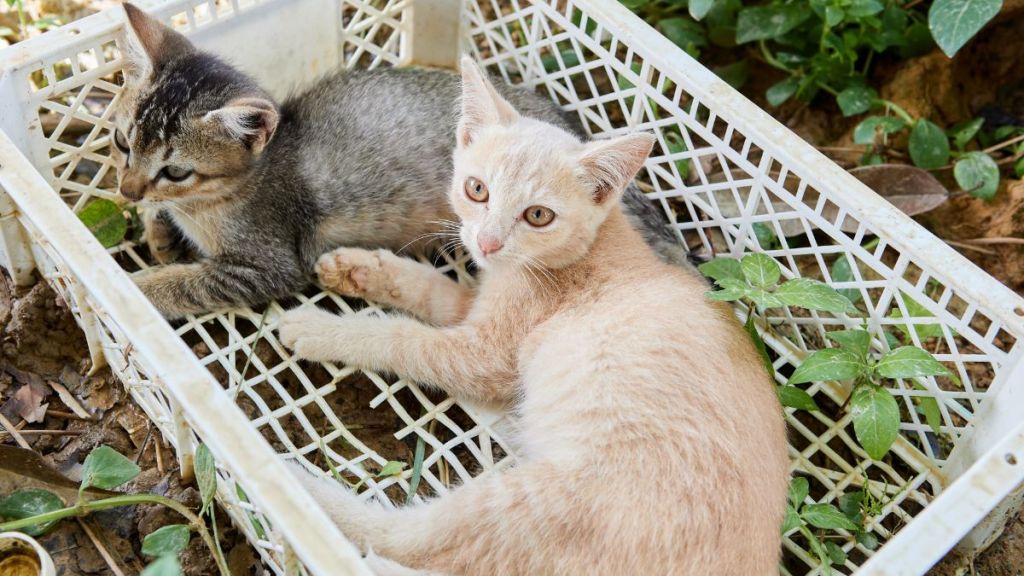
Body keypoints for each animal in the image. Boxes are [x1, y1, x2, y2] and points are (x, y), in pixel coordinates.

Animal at [114, 5, 688, 317]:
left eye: (176, 170)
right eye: (122, 143)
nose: (125, 190)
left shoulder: (269, 265)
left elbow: (188, 282)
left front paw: (137, 287)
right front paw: (157, 229)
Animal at [276, 57, 786, 573]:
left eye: (538, 216)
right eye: (476, 189)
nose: (487, 242)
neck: (589, 248)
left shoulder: (483, 356)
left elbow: (403, 339)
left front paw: (319, 328)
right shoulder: (480, 303)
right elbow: (433, 291)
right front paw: (357, 268)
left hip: (531, 502)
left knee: (406, 539)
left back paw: (298, 487)